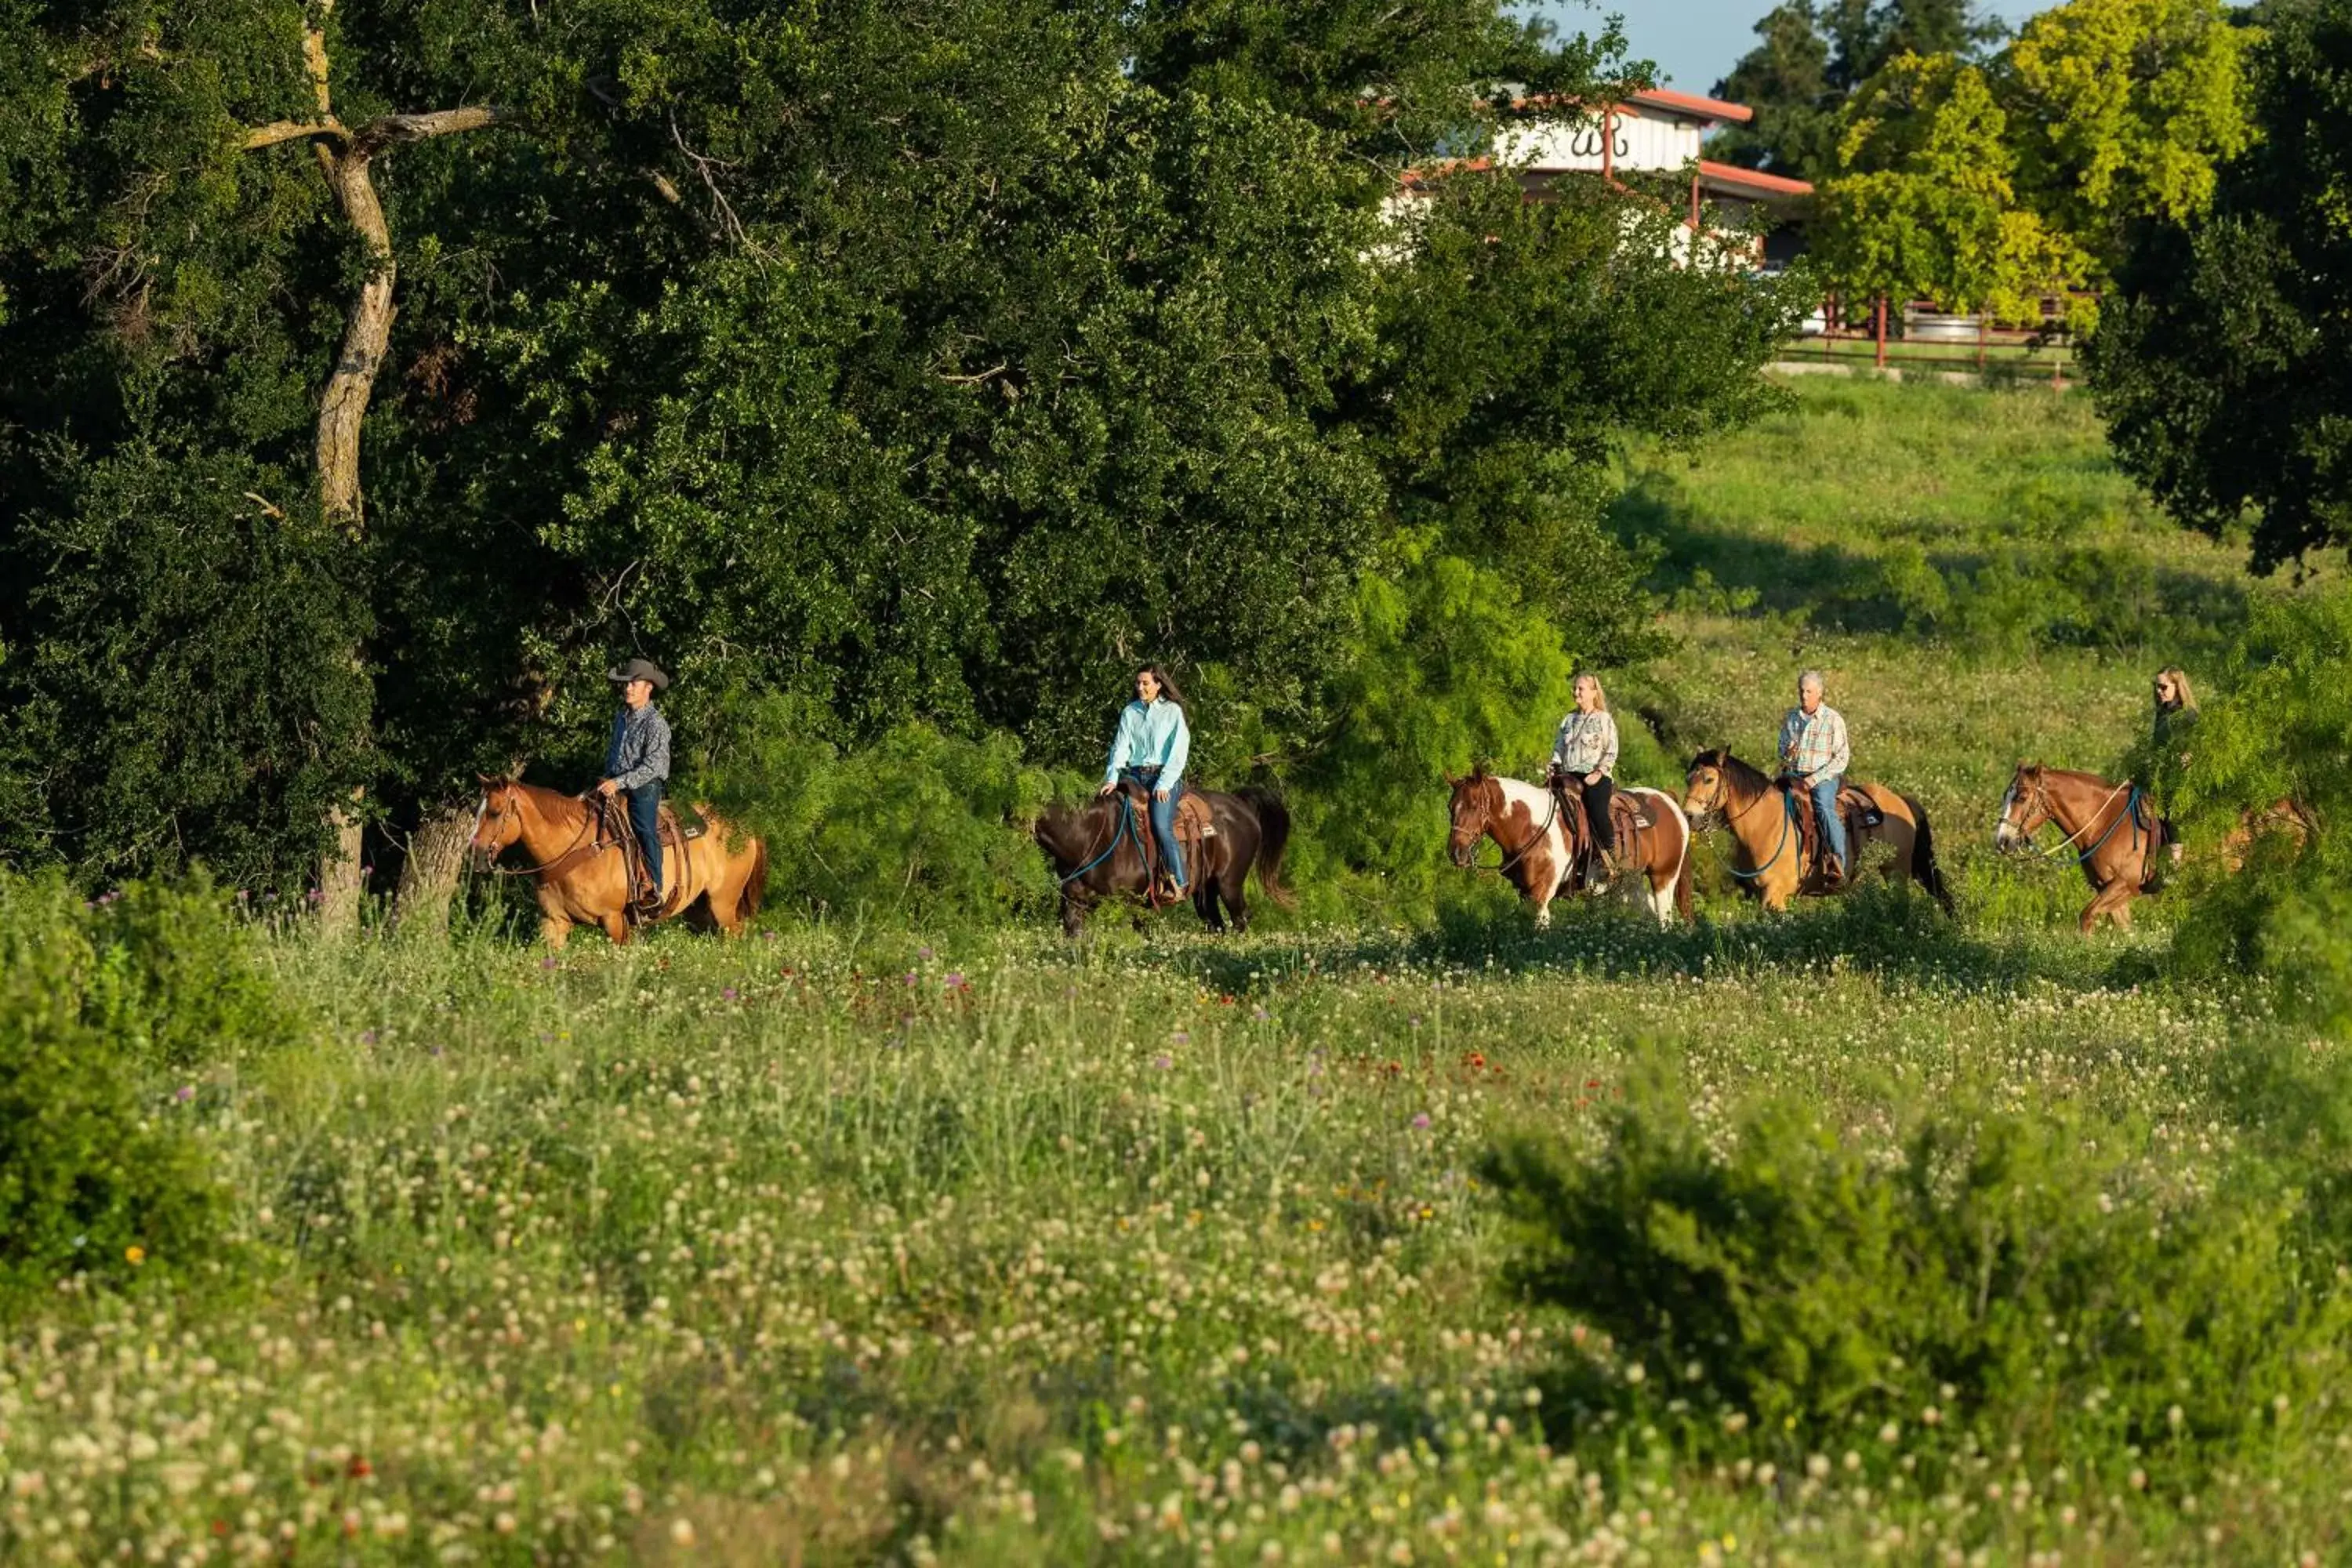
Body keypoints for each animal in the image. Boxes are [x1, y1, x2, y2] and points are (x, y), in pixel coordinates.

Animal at [470, 780, 771, 949]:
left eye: (495, 812)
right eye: (477, 810)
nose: (475, 855)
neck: (578, 852)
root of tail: (743, 824)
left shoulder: (615, 921)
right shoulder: (553, 923)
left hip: (724, 903)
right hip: (700, 910)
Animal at [1035, 789, 1298, 940]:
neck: (1088, 836)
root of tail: (1242, 806)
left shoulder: (1135, 902)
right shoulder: (1074, 903)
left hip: (1229, 884)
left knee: (1240, 918)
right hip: (1206, 892)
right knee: (1216, 924)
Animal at [1430, 771, 1693, 931]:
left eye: (1474, 805)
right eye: (1451, 806)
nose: (1456, 853)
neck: (1531, 826)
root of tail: (1668, 800)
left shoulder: (1541, 894)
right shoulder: (1525, 893)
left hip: (1664, 876)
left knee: (1664, 916)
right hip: (1629, 884)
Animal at [1684, 752, 1957, 912]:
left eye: (1709, 779)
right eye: (1689, 778)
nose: (1688, 815)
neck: (1766, 825)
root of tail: (1901, 801)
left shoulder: (1775, 895)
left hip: (1896, 872)